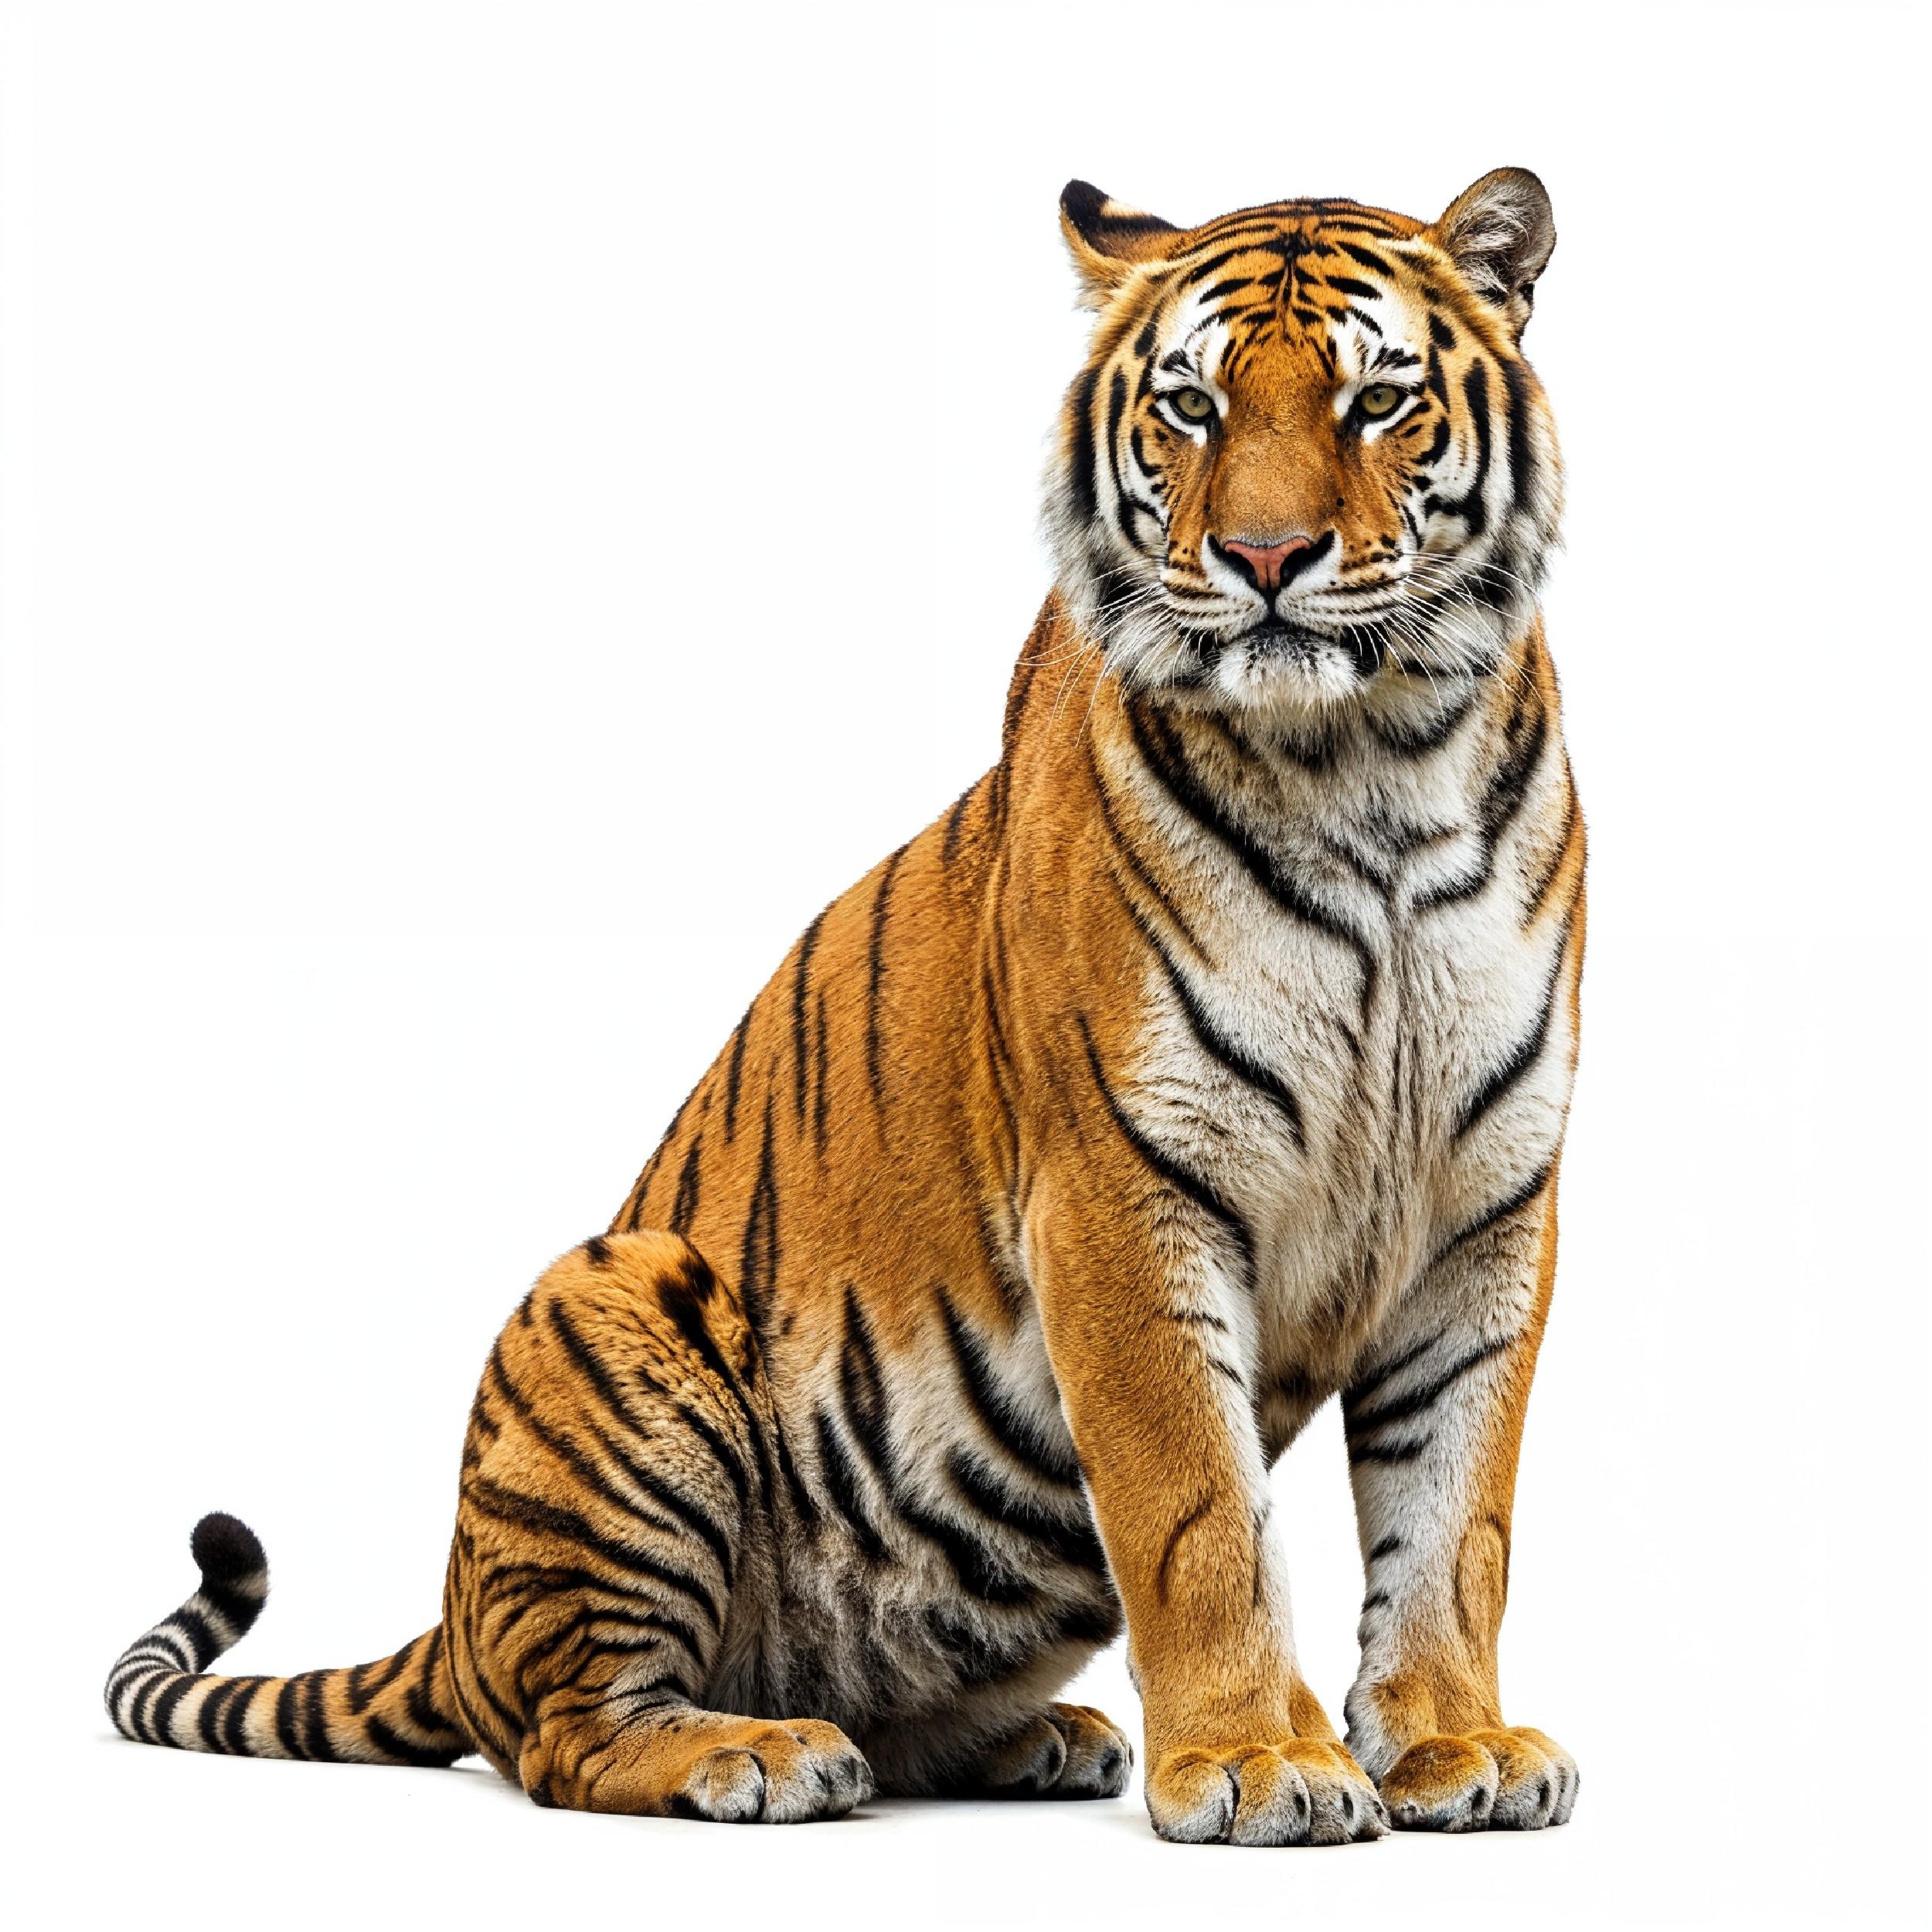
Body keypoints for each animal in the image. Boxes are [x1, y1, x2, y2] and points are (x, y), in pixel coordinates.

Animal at [106, 166, 1585, 1847]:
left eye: (1377, 400)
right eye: (1192, 407)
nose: (1265, 557)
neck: (1376, 767)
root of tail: (455, 1610)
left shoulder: (1485, 1208)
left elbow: (1454, 1521)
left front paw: (1452, 1745)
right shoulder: (1122, 1191)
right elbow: (1196, 1513)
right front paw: (1257, 1763)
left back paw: (1031, 1737)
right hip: (616, 1296)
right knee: (555, 1736)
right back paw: (755, 1751)